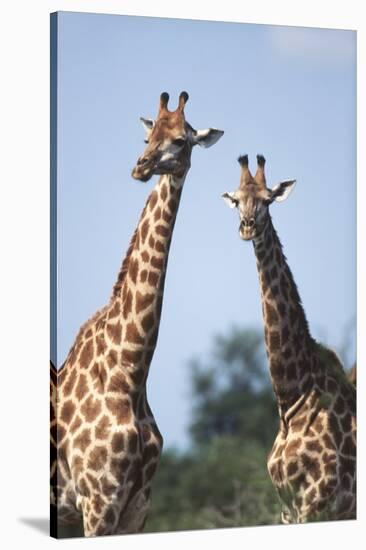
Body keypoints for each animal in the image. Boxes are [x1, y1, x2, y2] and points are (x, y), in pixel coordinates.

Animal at [49, 94, 223, 540]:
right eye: (148, 136)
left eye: (180, 140)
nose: (140, 167)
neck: (129, 373)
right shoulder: (97, 502)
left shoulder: (135, 509)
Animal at [222, 154, 356, 520]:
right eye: (236, 200)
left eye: (268, 200)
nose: (248, 227)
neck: (291, 396)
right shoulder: (286, 508)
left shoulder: (317, 501)